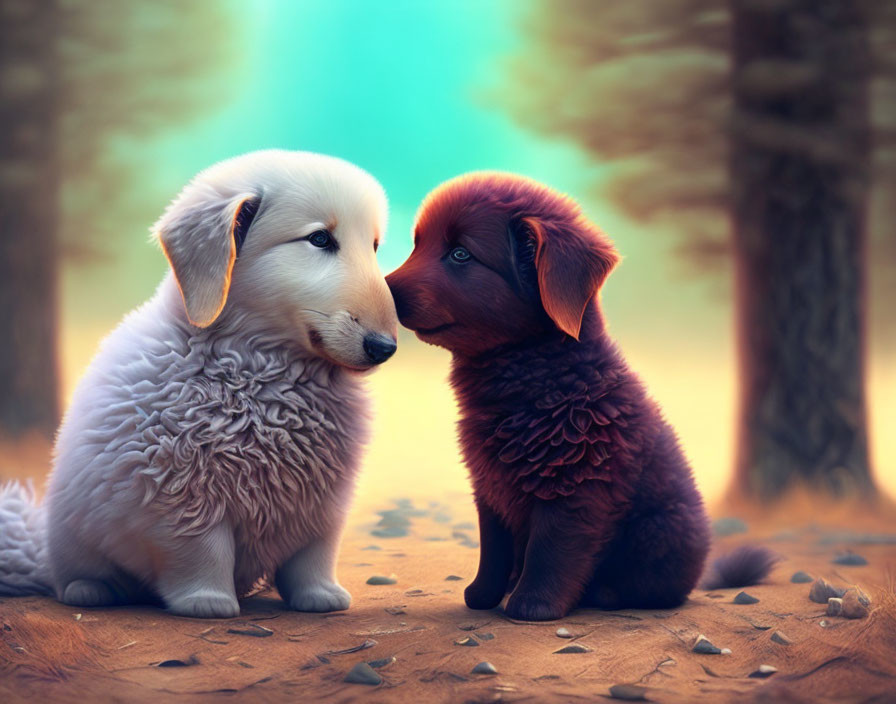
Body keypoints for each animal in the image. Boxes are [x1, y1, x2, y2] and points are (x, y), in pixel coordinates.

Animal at [0, 148, 396, 616]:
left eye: (374, 246)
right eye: (319, 240)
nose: (385, 347)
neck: (265, 366)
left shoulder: (322, 507)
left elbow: (312, 558)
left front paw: (321, 597)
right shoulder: (182, 502)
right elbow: (205, 554)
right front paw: (208, 602)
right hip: (72, 539)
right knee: (72, 575)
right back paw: (91, 590)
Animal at [384, 173, 768, 620]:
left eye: (460, 254)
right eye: (418, 245)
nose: (383, 291)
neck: (538, 379)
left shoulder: (576, 487)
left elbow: (551, 550)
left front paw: (531, 605)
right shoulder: (490, 487)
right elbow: (493, 549)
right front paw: (482, 595)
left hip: (659, 530)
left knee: (659, 589)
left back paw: (606, 595)